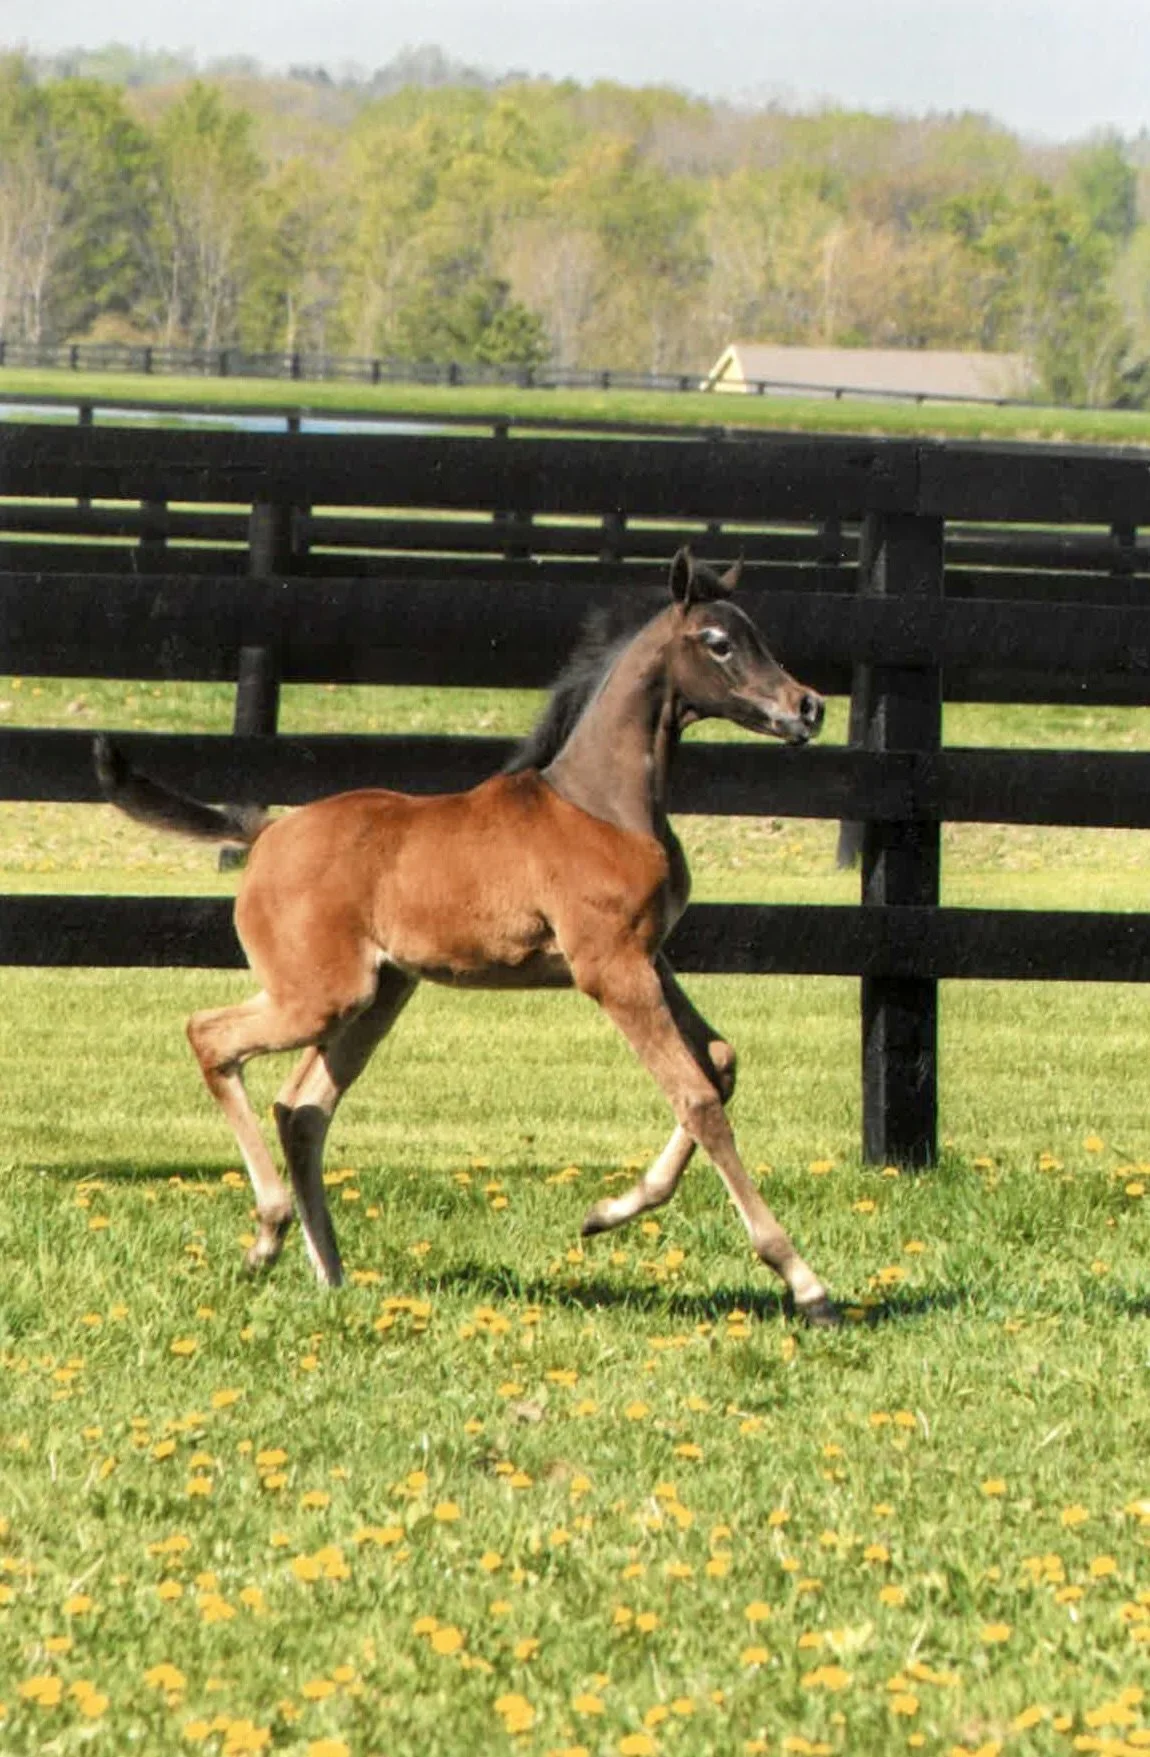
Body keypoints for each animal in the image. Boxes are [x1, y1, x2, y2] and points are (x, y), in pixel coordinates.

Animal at [95, 546, 837, 1324]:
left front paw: (606, 1212)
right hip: (320, 995)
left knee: (303, 1109)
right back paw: (269, 1232)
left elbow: (719, 1062)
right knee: (212, 1037)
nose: (807, 706)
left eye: (757, 634)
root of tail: (265, 833)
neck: (601, 804)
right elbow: (696, 1097)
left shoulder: (648, 957)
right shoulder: (609, 968)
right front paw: (803, 1279)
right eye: (717, 642)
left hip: (378, 995)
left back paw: (329, 1273)